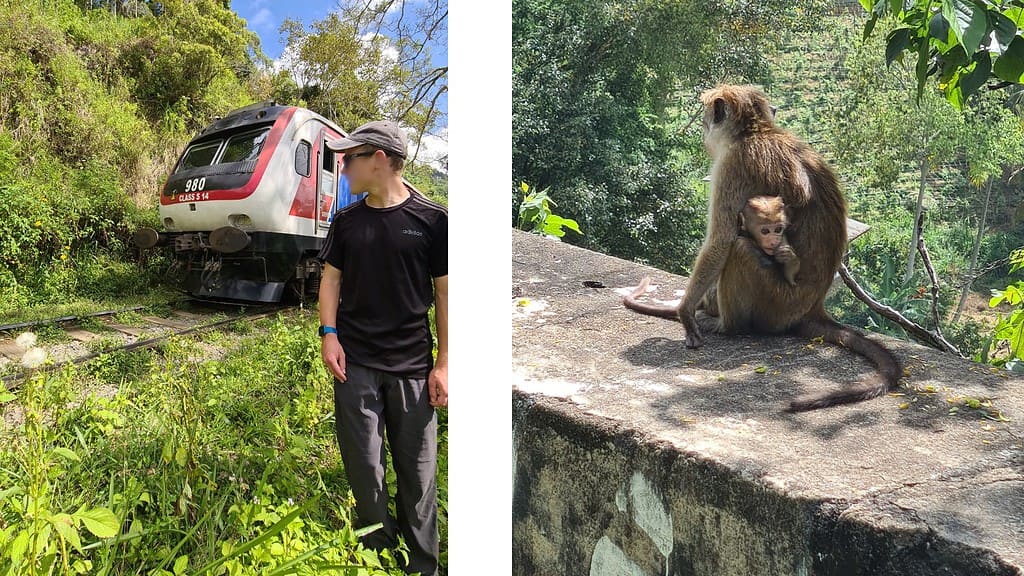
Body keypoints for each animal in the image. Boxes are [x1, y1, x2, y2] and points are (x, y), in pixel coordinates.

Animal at [618, 83, 901, 409]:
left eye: (706, 117)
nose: (703, 128)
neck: (756, 132)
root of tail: (813, 307)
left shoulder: (732, 166)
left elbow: (721, 240)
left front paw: (686, 312)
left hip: (775, 303)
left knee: (739, 250)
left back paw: (725, 324)